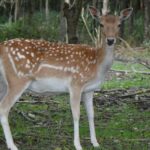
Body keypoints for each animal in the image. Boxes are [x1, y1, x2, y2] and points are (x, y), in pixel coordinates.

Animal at [0, 6, 132, 150]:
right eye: (101, 24)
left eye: (119, 24)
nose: (110, 40)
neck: (97, 65)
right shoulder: (76, 83)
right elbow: (76, 114)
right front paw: (78, 145)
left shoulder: (89, 89)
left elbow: (91, 114)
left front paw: (96, 143)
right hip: (17, 79)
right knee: (4, 108)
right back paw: (12, 145)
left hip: (4, 83)